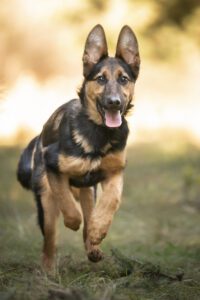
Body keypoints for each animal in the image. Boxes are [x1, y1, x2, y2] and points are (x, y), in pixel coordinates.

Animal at [17, 24, 140, 270]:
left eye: (123, 79)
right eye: (100, 79)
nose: (114, 103)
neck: (99, 133)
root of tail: (39, 136)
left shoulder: (114, 172)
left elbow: (112, 201)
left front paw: (98, 230)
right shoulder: (54, 167)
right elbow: (66, 202)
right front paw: (73, 221)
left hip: (88, 191)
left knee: (89, 213)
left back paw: (92, 246)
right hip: (45, 198)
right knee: (49, 239)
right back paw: (48, 269)